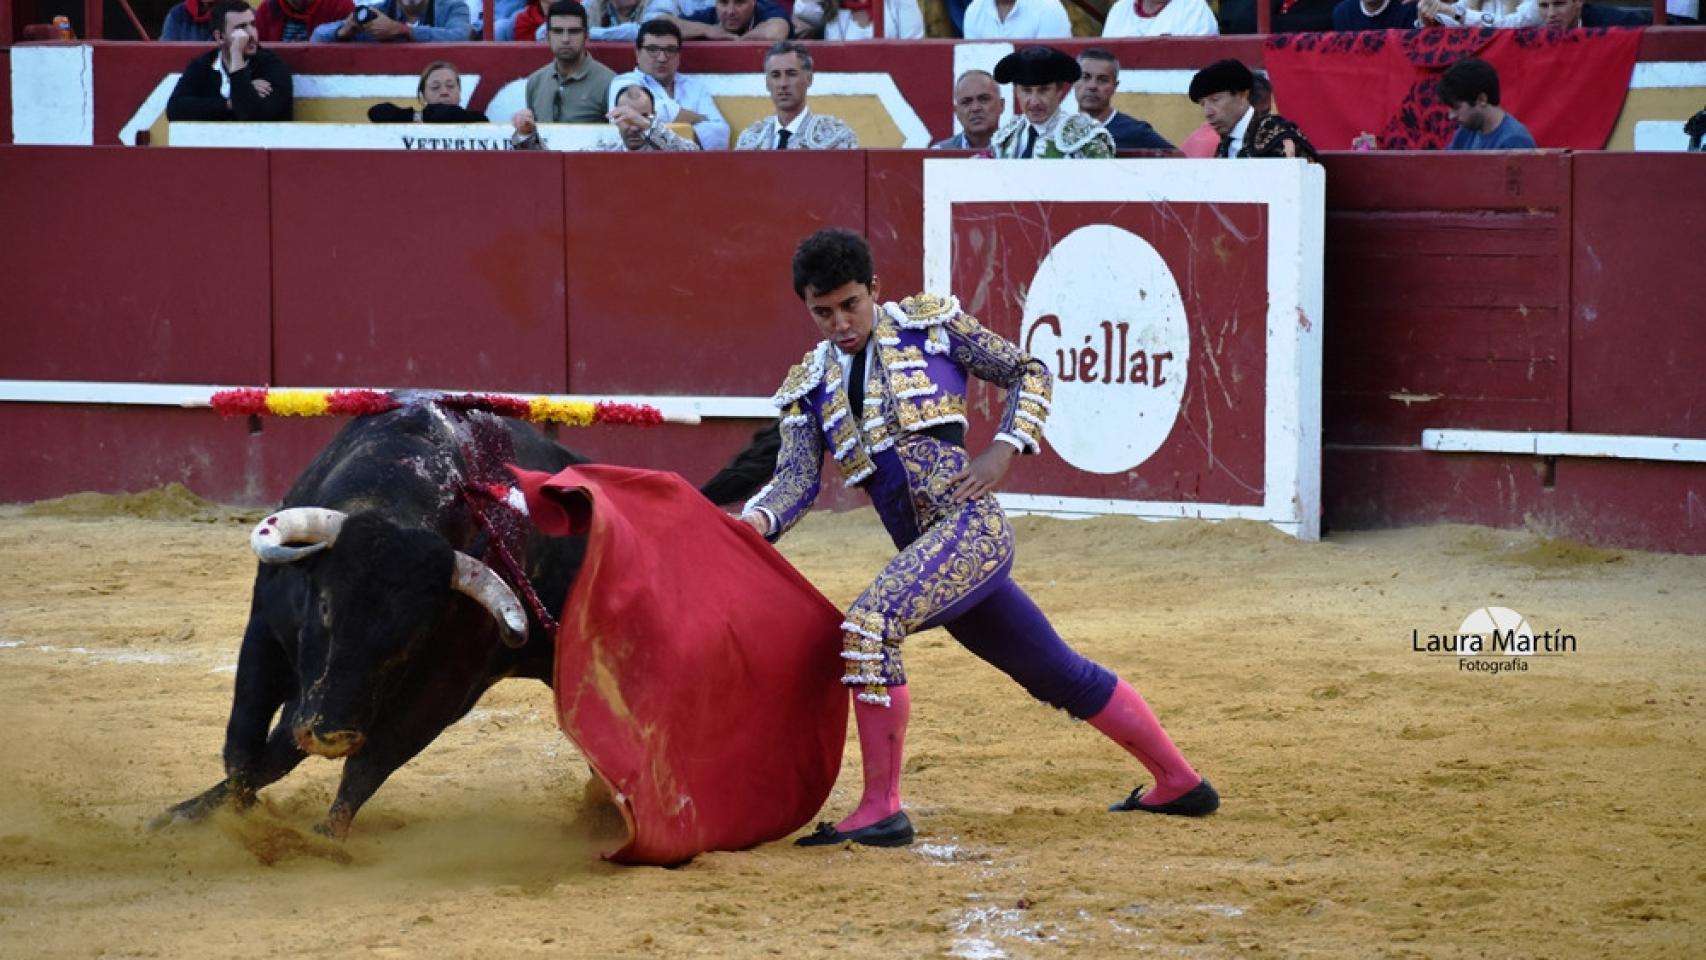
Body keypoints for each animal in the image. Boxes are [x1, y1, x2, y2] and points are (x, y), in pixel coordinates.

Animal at [153, 405, 781, 842]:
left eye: (409, 640)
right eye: (324, 606)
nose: (331, 733)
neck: (396, 502)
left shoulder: (445, 686)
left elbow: (371, 762)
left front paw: (324, 839)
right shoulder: (267, 632)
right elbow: (245, 740)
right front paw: (203, 815)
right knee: (280, 740)